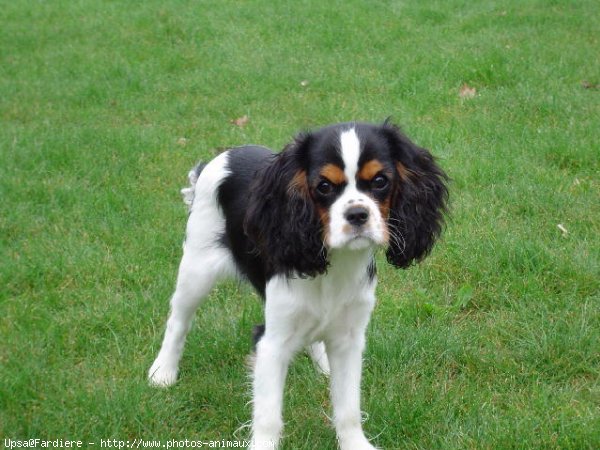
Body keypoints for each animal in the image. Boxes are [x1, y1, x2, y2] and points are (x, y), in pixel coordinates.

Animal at [148, 121, 448, 448]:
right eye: (324, 186)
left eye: (380, 181)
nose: (357, 214)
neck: (335, 263)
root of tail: (224, 155)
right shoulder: (271, 343)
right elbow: (268, 416)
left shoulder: (349, 340)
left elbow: (348, 408)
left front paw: (354, 442)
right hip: (197, 268)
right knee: (178, 320)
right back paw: (163, 371)